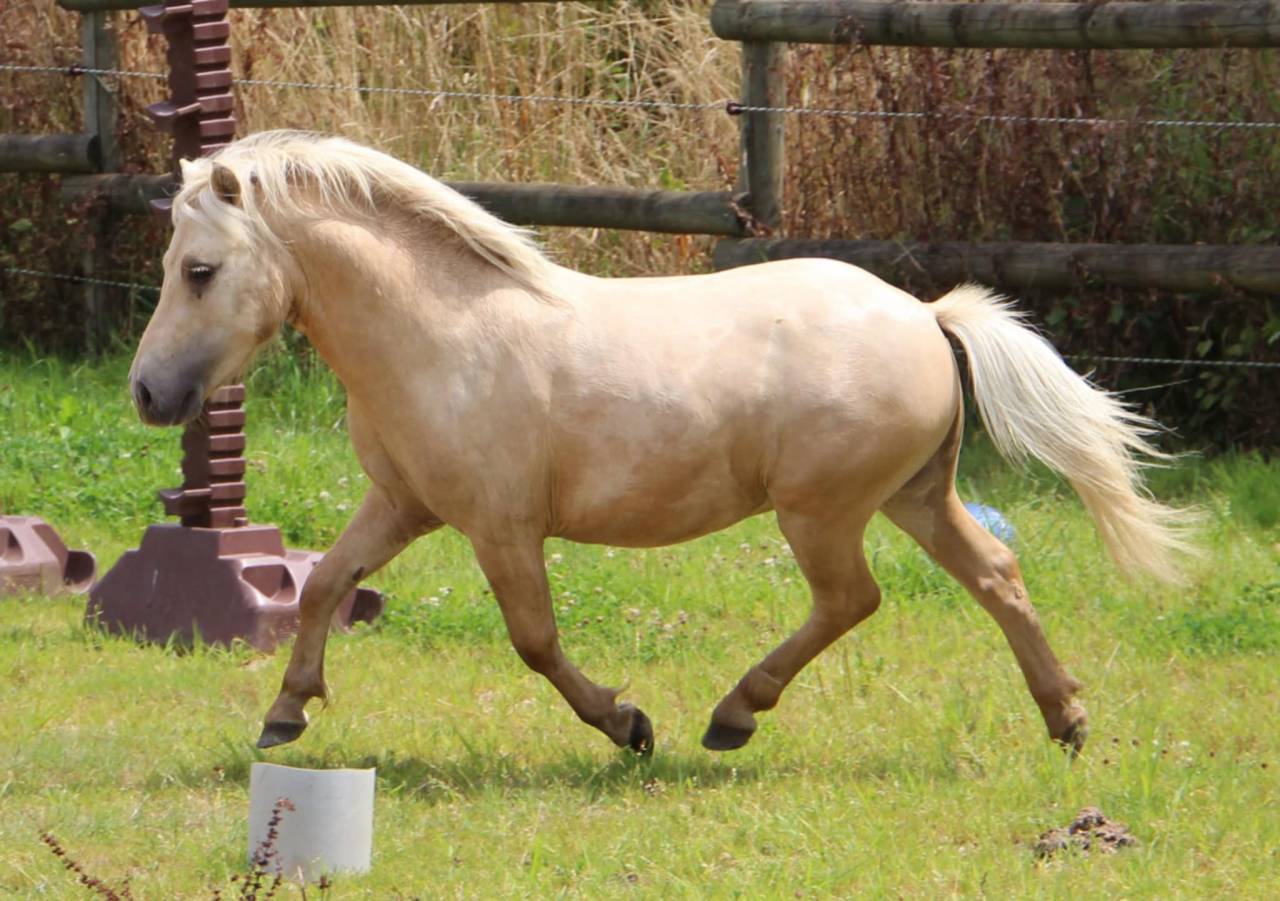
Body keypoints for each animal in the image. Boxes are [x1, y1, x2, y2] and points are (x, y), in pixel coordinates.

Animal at [129, 131, 1194, 757]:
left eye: (200, 268)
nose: (147, 392)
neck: (444, 331)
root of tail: (926, 316)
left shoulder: (500, 527)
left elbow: (535, 640)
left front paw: (629, 725)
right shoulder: (403, 505)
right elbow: (321, 586)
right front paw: (284, 712)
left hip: (823, 513)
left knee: (851, 599)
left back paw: (732, 716)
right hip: (916, 497)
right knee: (997, 576)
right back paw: (1067, 720)